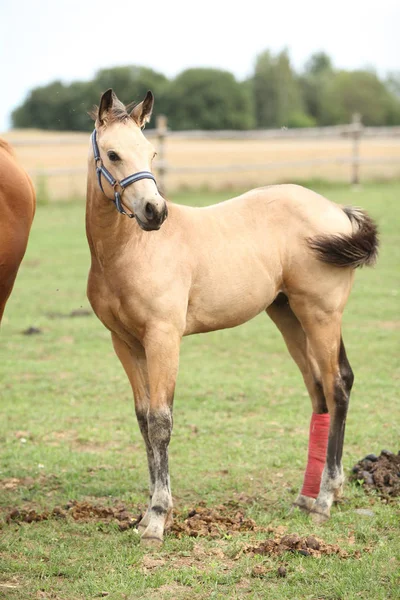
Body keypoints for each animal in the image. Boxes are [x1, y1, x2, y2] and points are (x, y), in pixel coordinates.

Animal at [85, 89, 378, 544]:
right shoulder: (125, 343)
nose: (155, 212)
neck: (131, 251)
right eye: (113, 154)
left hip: (321, 313)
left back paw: (326, 499)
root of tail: (337, 212)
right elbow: (143, 420)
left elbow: (161, 421)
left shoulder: (163, 337)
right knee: (318, 390)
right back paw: (305, 498)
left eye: (151, 153)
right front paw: (146, 515)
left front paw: (157, 518)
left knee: (337, 386)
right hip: (288, 315)